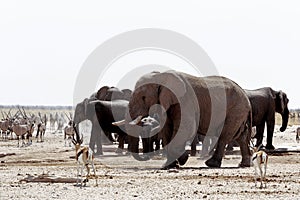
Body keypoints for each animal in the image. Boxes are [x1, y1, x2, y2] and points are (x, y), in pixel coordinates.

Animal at [123, 70, 252, 169]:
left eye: (143, 98)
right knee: (240, 136)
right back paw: (243, 164)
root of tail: (245, 95)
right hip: (239, 111)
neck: (161, 76)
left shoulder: (184, 100)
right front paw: (169, 166)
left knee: (224, 136)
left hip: (236, 110)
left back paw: (211, 164)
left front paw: (183, 159)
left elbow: (187, 127)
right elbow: (166, 130)